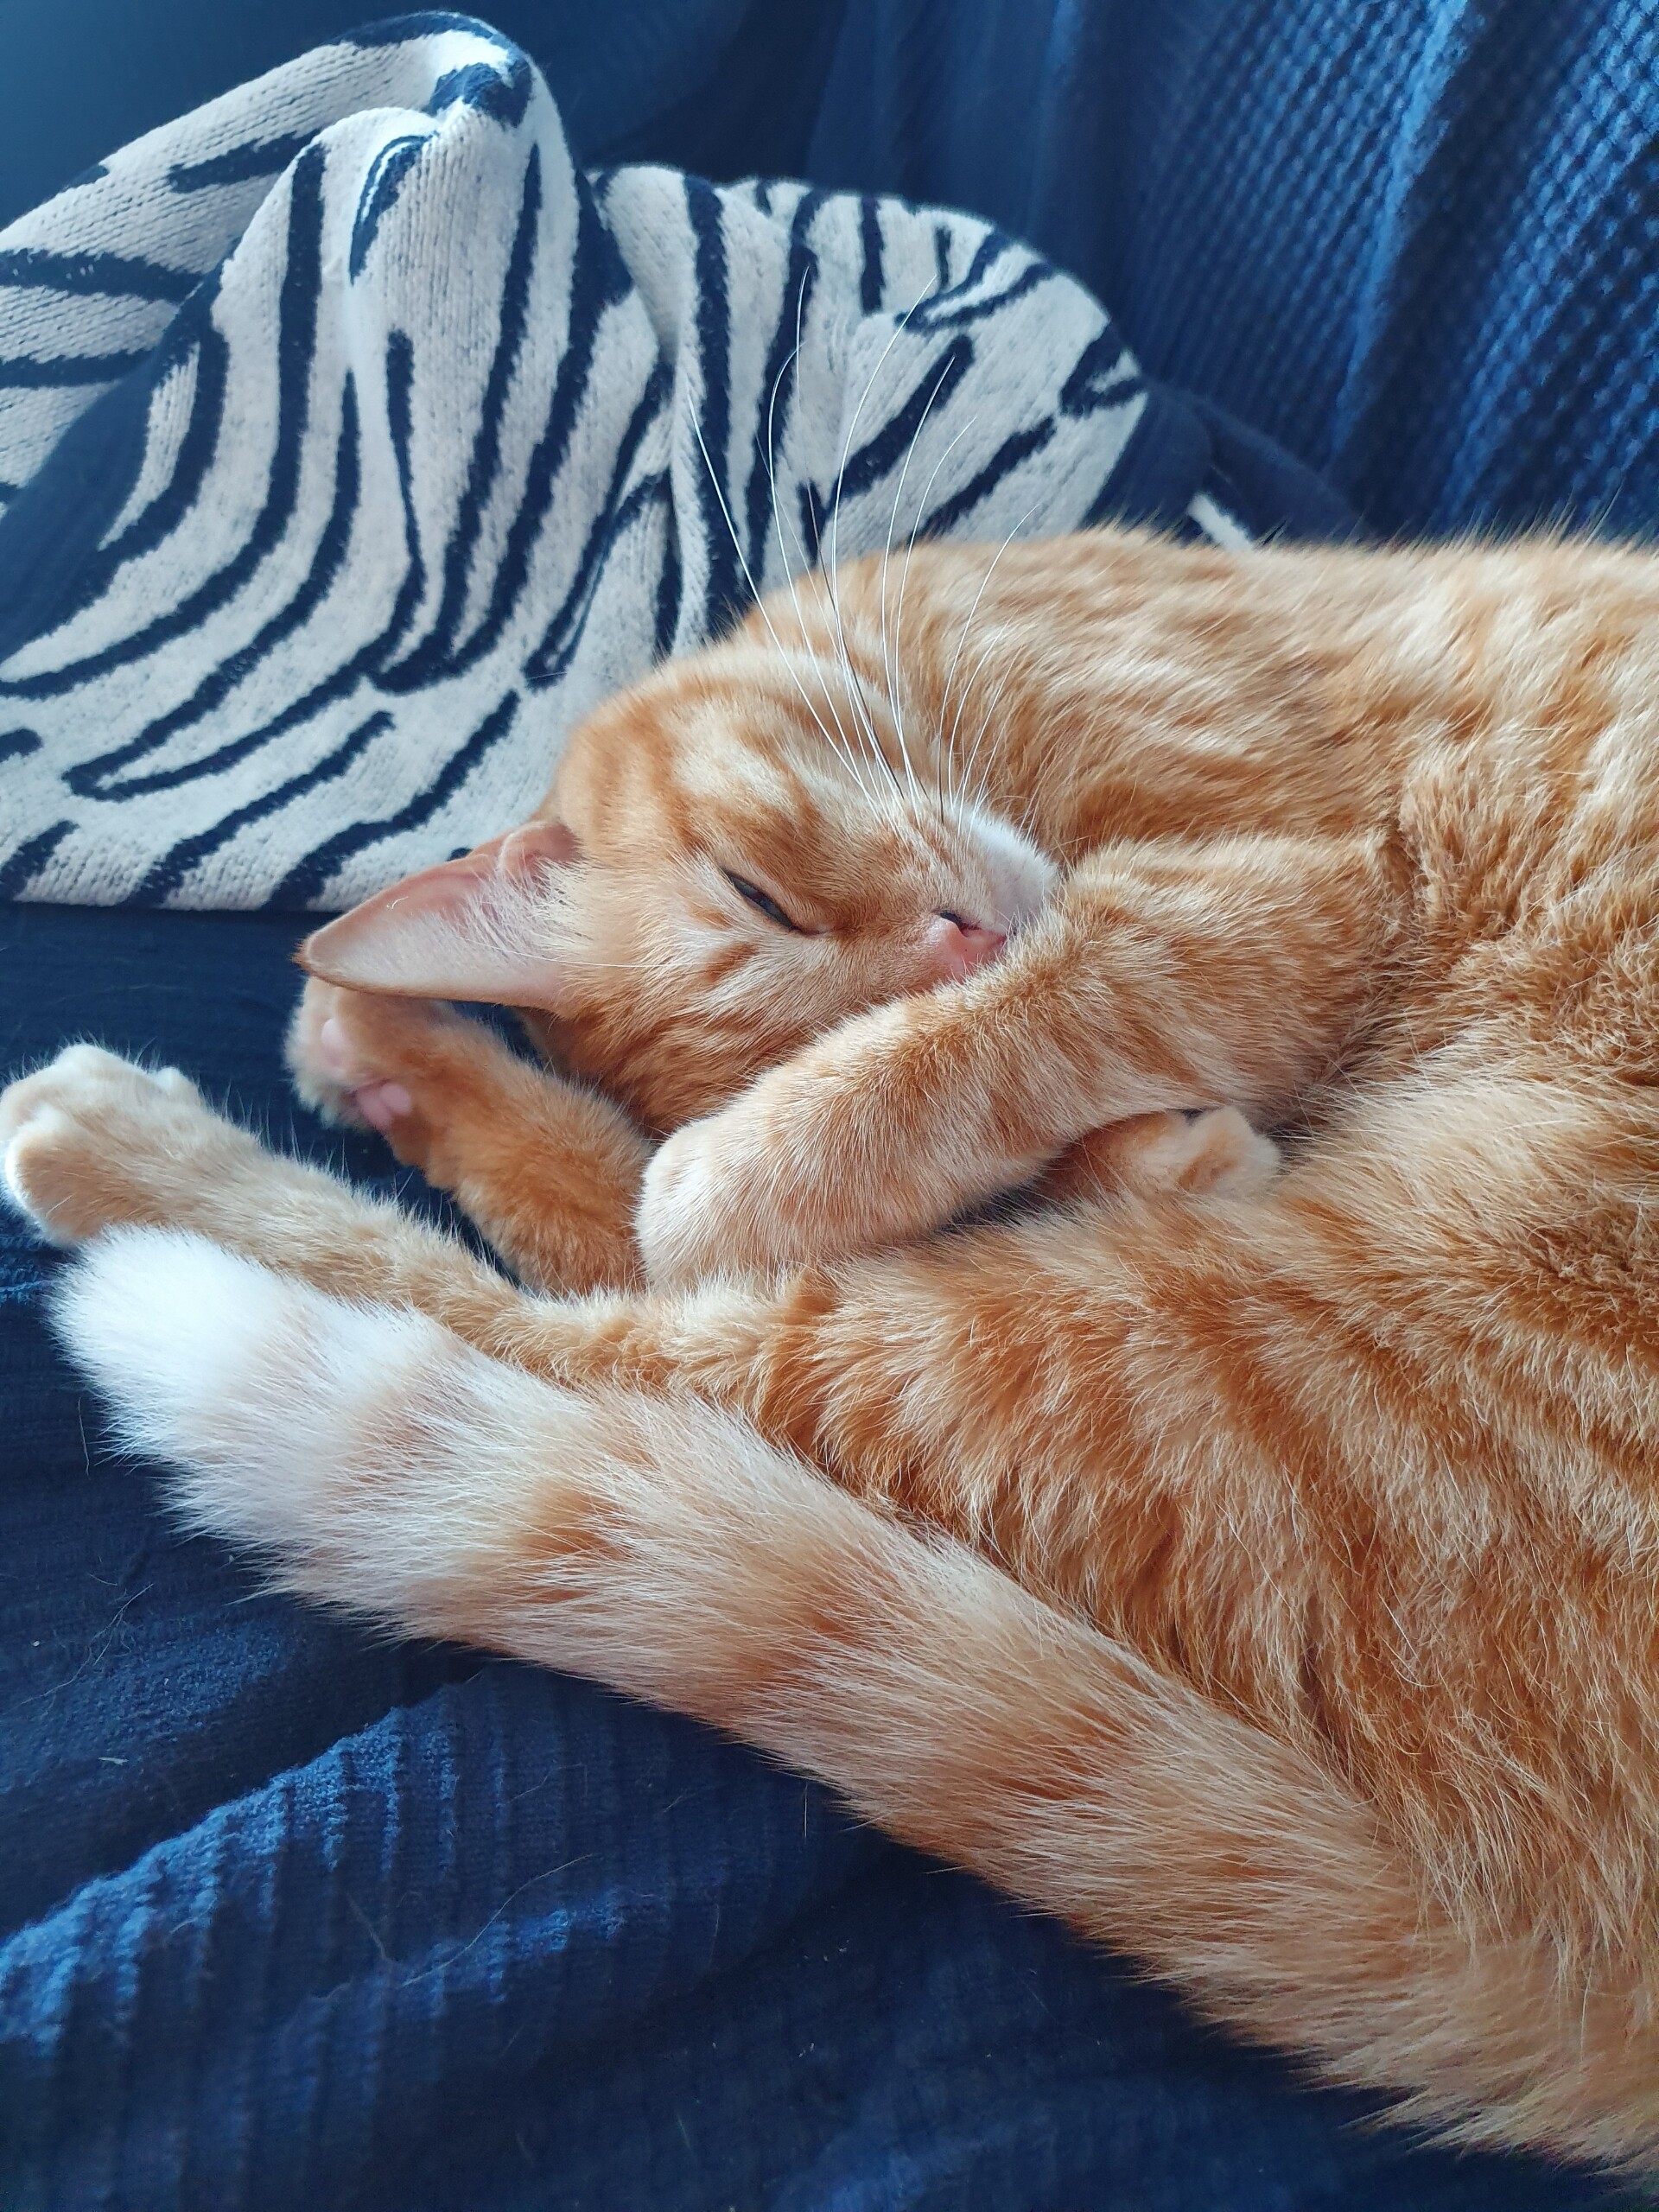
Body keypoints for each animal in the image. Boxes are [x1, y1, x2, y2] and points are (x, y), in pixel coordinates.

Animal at [7, 523, 1659, 2170]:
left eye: (760, 895)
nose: (966, 937)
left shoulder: (1295, 881)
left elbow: (1020, 1020)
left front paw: (751, 1163)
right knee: (584, 1318)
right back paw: (348, 1065)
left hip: (1160, 1349)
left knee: (586, 1344)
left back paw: (142, 1139)